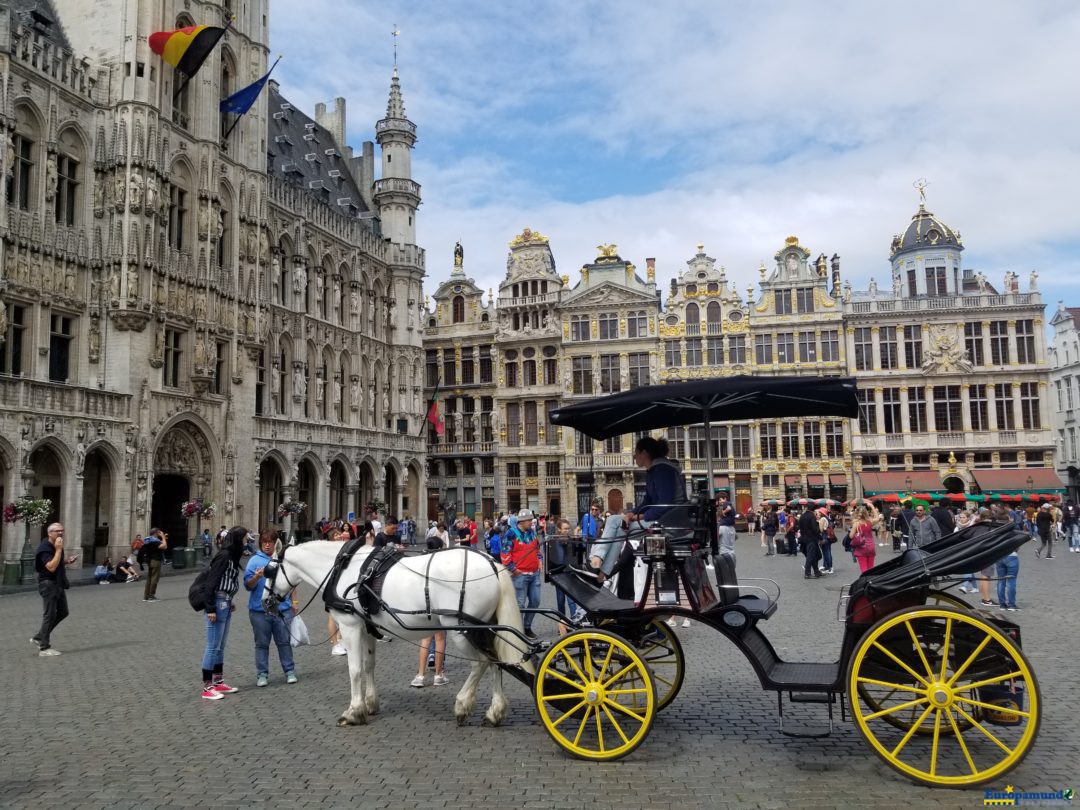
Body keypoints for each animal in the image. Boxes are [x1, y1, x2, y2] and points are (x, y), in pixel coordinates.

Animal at [261, 546, 531, 730]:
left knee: (481, 663)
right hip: (487, 628)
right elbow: (369, 665)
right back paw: (494, 713)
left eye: (268, 570)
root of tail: (493, 564)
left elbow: (354, 669)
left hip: (460, 628)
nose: (265, 602)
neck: (342, 570)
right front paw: (370, 704)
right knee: (498, 662)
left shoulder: (350, 626)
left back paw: (463, 705)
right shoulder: (368, 627)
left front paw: (353, 711)